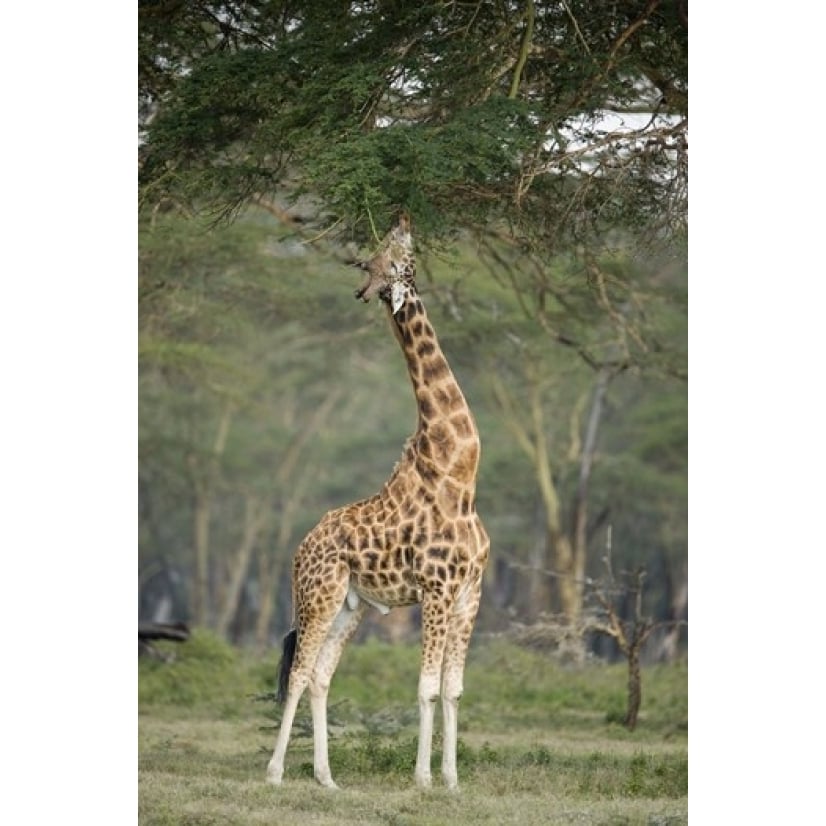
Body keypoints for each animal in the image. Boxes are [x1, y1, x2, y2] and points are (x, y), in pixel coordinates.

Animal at [268, 212, 490, 792]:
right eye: (388, 257)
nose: (404, 218)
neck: (460, 476)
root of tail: (299, 549)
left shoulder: (469, 594)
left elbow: (454, 690)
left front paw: (453, 781)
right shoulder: (436, 590)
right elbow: (427, 688)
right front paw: (423, 779)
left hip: (352, 605)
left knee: (321, 675)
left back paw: (326, 777)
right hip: (318, 595)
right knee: (298, 671)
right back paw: (275, 772)